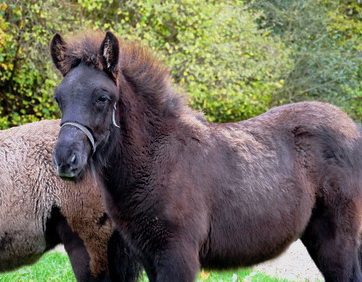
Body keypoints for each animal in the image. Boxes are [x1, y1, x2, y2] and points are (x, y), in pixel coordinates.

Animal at [49, 32, 360, 280]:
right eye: (59, 98)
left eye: (102, 97)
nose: (66, 160)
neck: (157, 160)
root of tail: (352, 127)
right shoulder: (149, 257)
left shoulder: (178, 255)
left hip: (337, 240)